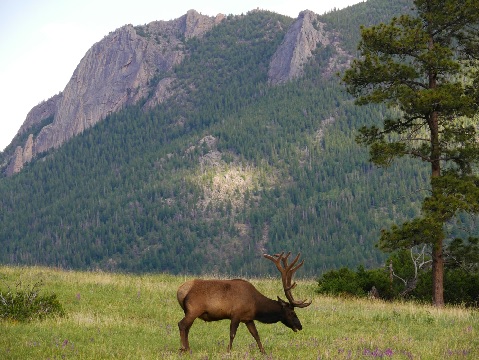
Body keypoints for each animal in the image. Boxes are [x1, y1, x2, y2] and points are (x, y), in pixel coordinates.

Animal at [176, 252, 312, 352]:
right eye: (291, 313)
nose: (300, 326)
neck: (256, 306)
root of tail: (180, 291)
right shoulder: (236, 314)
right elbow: (232, 334)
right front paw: (228, 351)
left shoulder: (248, 318)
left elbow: (256, 334)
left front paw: (263, 352)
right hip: (194, 309)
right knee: (182, 325)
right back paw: (183, 349)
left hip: (189, 311)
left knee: (187, 328)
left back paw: (188, 348)